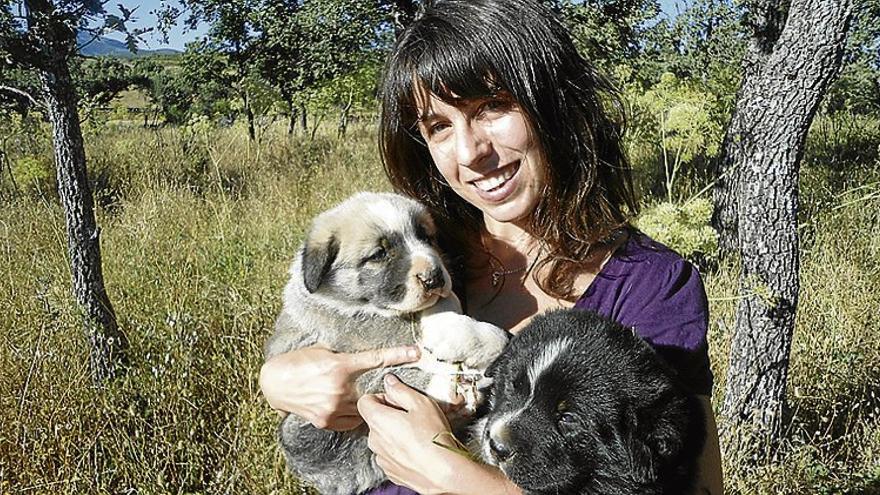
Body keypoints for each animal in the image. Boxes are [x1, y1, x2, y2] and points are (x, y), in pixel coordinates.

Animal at [264, 193, 506, 495]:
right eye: (379, 254)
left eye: (426, 237)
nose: (435, 278)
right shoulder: (355, 327)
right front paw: (458, 337)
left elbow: (444, 305)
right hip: (300, 428)